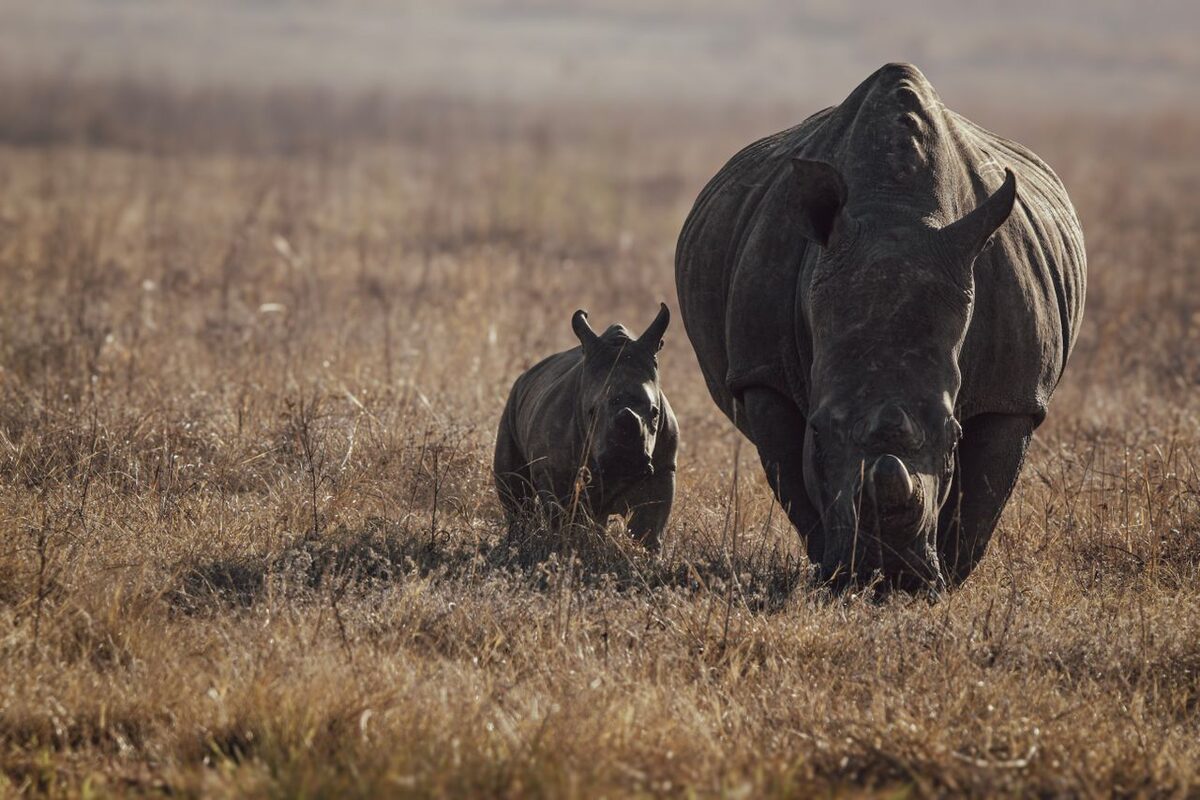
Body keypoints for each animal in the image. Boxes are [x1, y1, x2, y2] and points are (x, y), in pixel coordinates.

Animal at [494, 304, 679, 548]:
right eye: (591, 412)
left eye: (655, 413)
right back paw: (518, 542)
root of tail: (526, 374)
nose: (624, 460)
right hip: (512, 404)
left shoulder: (663, 467)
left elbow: (648, 526)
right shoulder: (554, 470)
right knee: (517, 496)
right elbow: (566, 518)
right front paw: (566, 545)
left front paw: (645, 554)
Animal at [675, 63, 1085, 589]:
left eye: (953, 437)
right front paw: (831, 570)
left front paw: (950, 578)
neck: (898, 210)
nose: (889, 573)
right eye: (818, 433)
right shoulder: (762, 371)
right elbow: (792, 478)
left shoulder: (1014, 389)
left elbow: (985, 494)